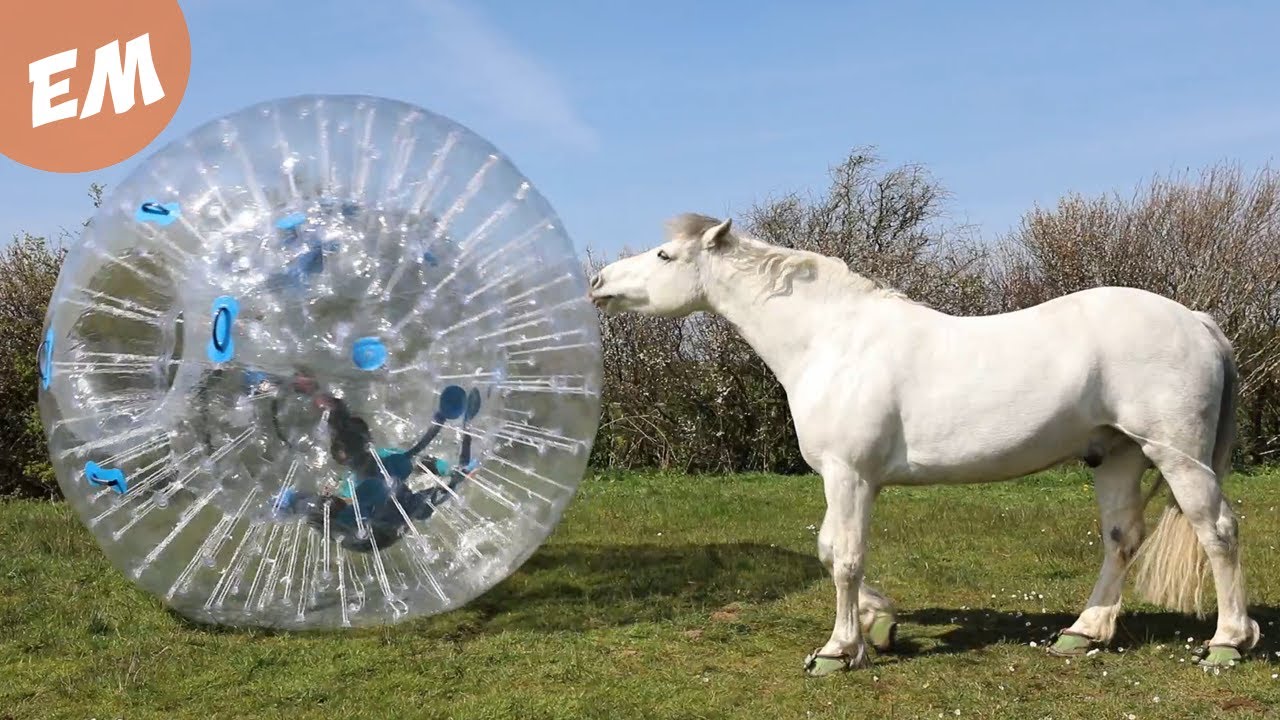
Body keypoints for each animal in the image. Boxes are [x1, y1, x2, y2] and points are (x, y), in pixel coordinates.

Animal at [587, 212, 1260, 676]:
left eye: (665, 254)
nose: (598, 282)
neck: (833, 341)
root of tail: (1198, 321)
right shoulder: (848, 480)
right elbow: (830, 550)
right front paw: (879, 624)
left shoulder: (850, 475)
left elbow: (846, 557)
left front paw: (839, 650)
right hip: (1116, 454)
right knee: (1122, 539)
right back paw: (1083, 632)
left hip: (1176, 457)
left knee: (1218, 532)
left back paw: (1228, 642)